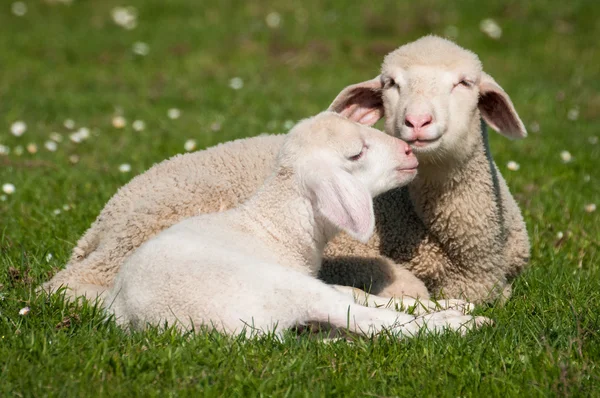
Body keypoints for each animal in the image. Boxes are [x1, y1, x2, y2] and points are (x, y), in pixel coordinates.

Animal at [42, 35, 528, 304]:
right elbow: (406, 287)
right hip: (145, 230)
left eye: (465, 83)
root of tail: (107, 214)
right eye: (391, 83)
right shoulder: (344, 256)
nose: (417, 122)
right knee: (68, 287)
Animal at [103, 112, 488, 336]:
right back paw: (454, 325)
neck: (277, 226)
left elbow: (358, 292)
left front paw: (447, 304)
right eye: (356, 154)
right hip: (275, 285)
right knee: (361, 318)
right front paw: (448, 316)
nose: (409, 152)